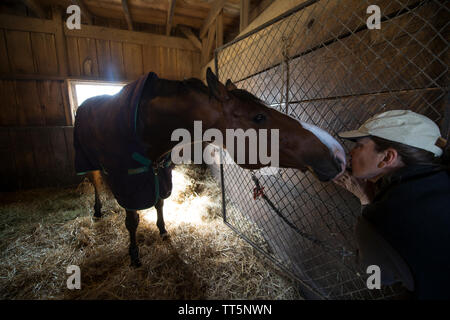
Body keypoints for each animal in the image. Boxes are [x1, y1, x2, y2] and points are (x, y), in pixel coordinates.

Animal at [74, 68, 346, 268]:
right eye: (259, 117)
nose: (338, 154)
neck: (146, 124)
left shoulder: (160, 173)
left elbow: (160, 203)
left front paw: (163, 230)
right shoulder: (129, 183)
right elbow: (132, 221)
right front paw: (134, 254)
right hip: (88, 162)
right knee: (95, 182)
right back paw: (97, 210)